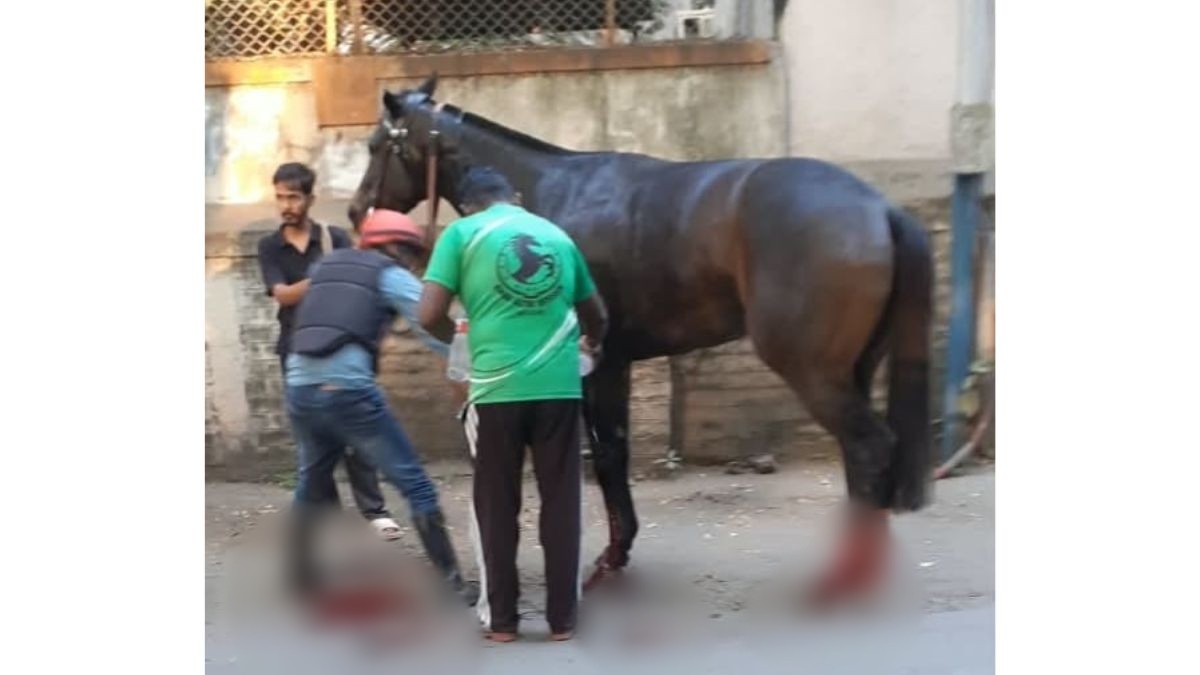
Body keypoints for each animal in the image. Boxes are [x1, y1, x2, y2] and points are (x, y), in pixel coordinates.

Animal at [348, 75, 934, 606]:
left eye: (377, 145)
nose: (356, 212)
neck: (546, 194)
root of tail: (879, 208)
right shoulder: (617, 361)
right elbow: (615, 450)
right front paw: (617, 552)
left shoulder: (598, 362)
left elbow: (607, 454)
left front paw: (609, 560)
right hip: (851, 368)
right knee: (863, 457)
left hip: (812, 370)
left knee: (869, 447)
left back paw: (843, 579)